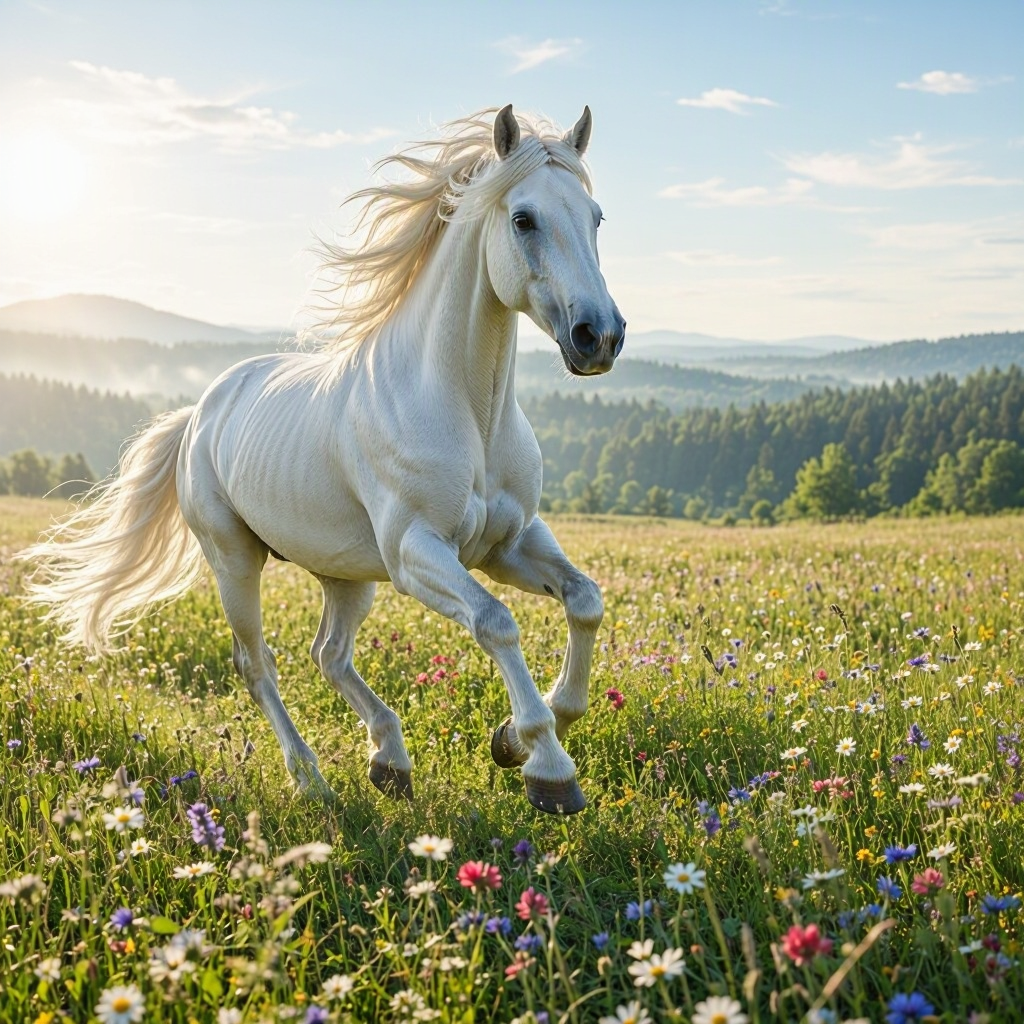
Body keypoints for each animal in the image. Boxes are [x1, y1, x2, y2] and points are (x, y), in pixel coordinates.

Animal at [22, 105, 625, 816]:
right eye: (523, 218)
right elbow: (496, 622)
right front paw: (547, 766)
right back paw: (311, 779)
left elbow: (585, 600)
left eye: (596, 217)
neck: (466, 413)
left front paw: (516, 738)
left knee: (329, 655)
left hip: (347, 574)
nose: (599, 337)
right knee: (258, 665)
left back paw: (390, 761)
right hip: (234, 559)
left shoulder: (509, 544)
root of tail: (199, 413)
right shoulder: (416, 552)